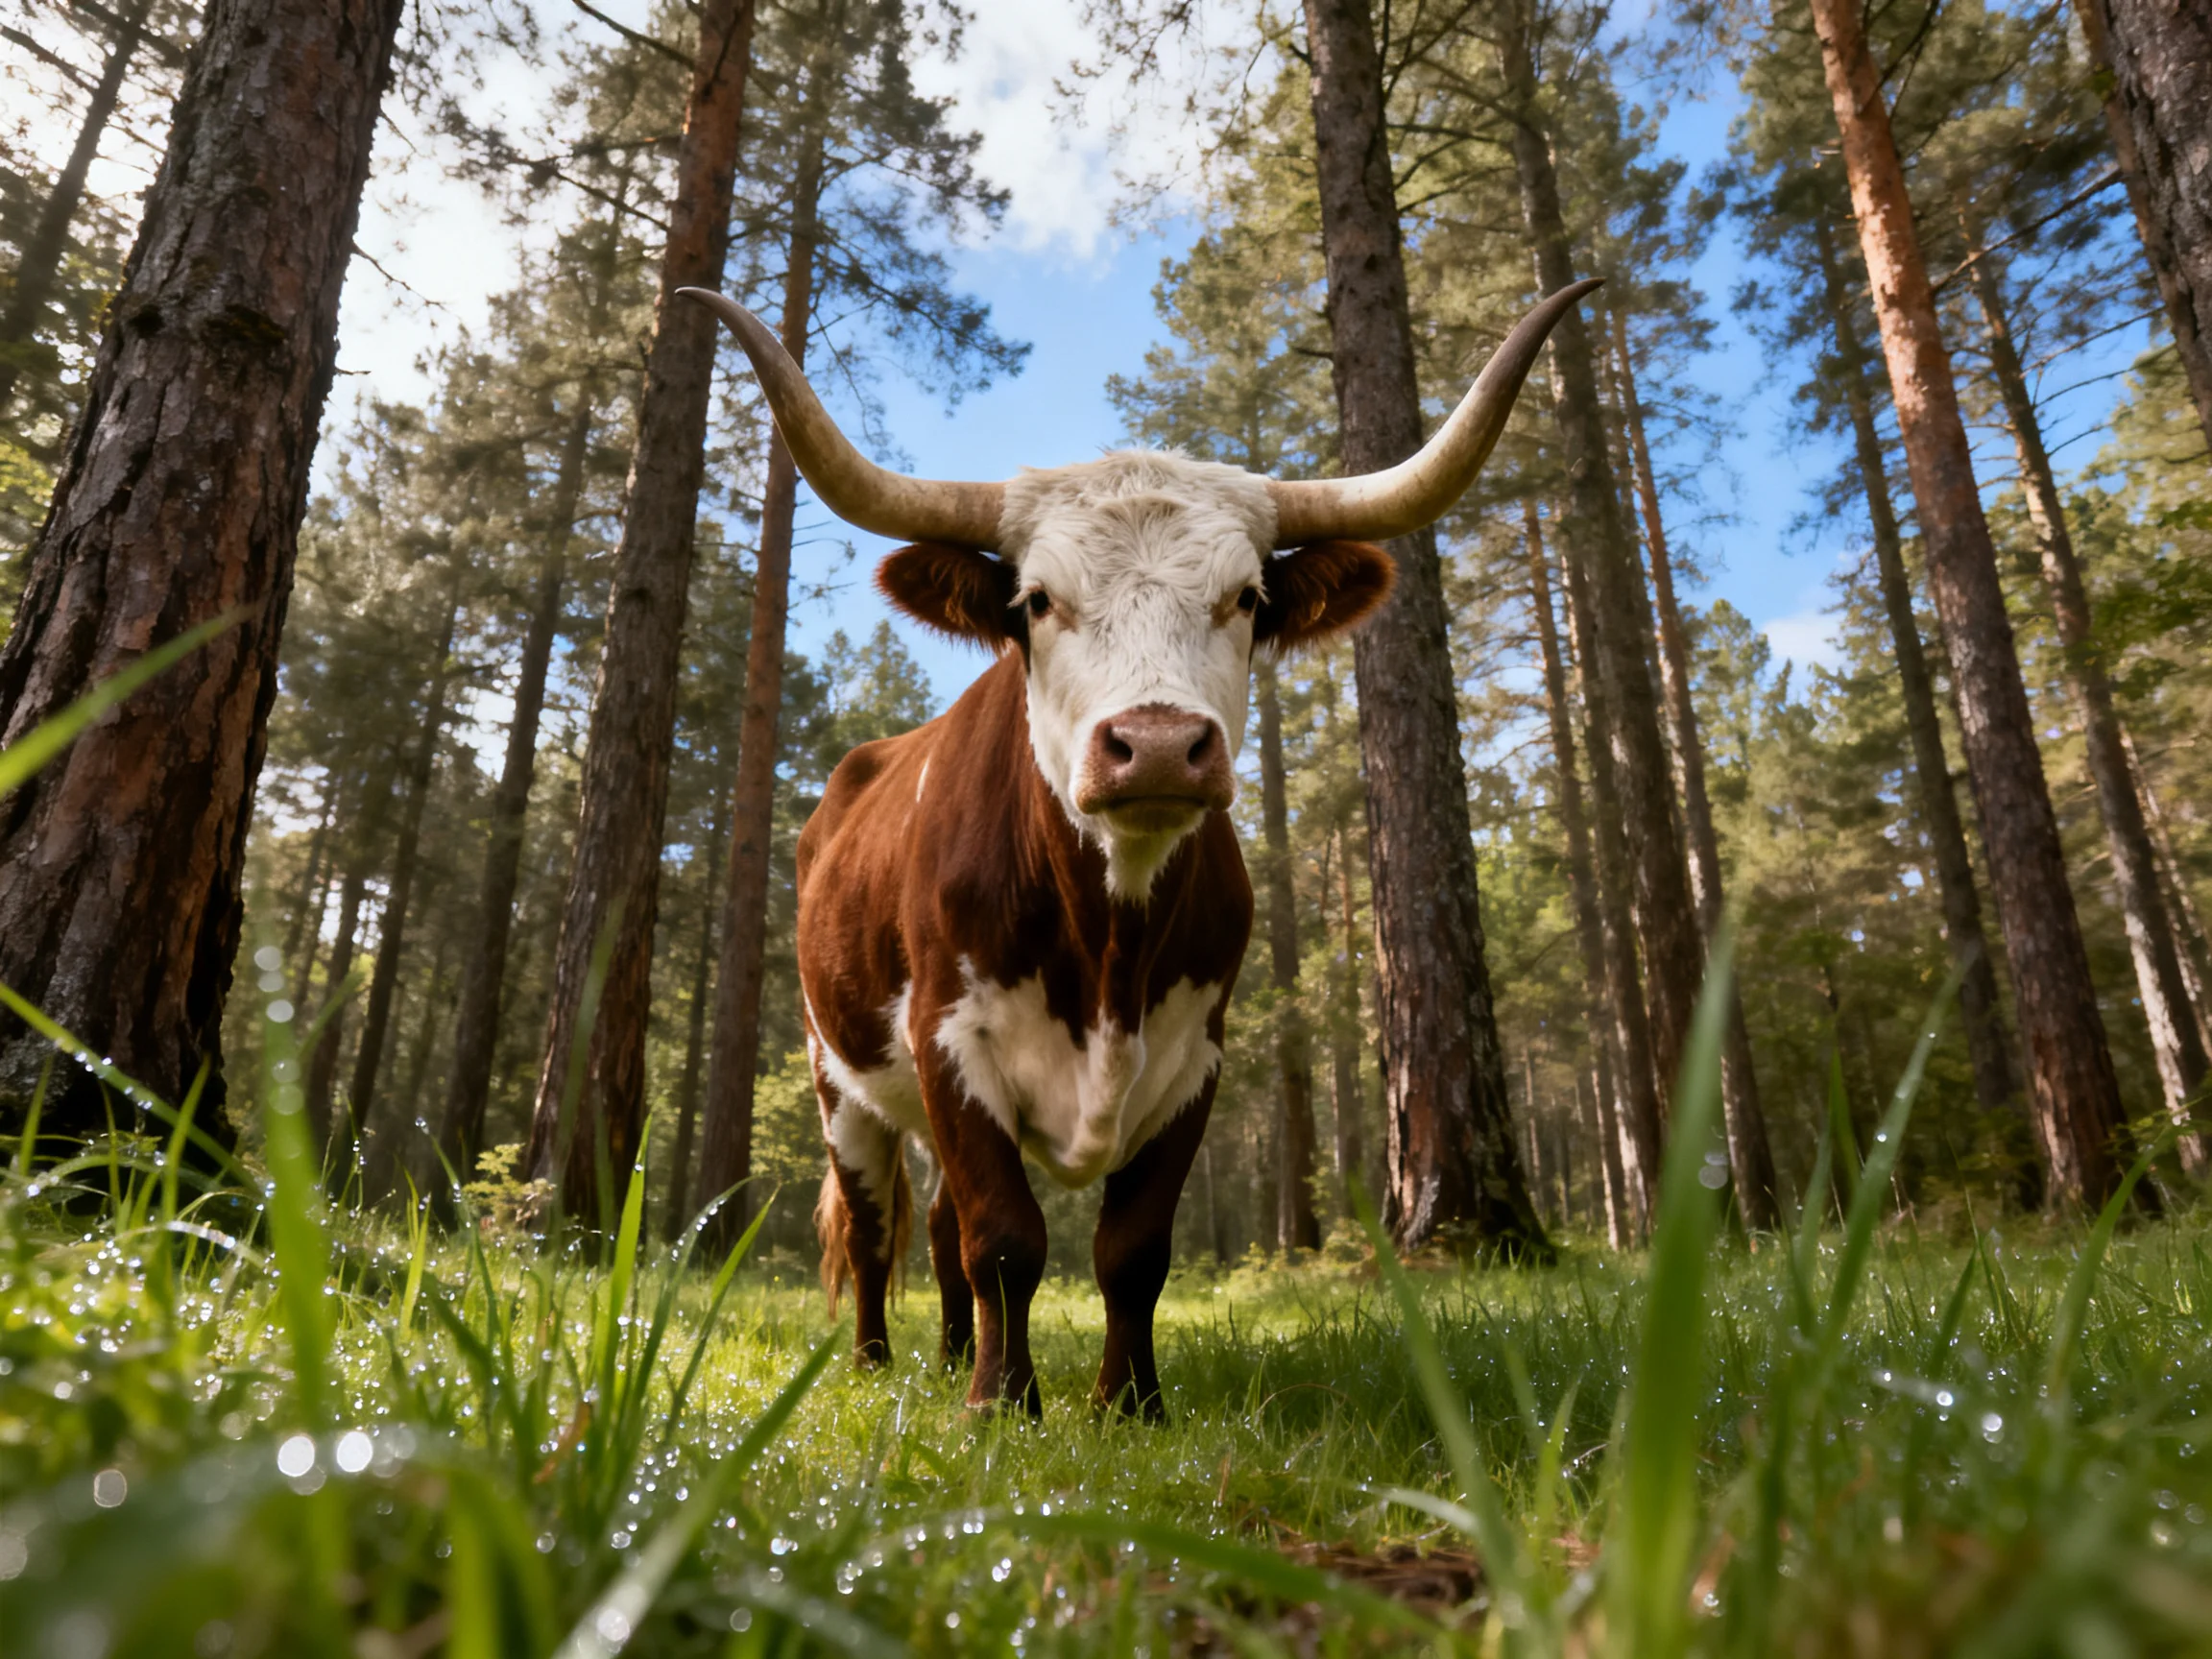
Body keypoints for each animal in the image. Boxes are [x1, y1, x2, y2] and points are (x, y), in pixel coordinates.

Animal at [683, 279, 1597, 1417]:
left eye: (1246, 598)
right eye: (1036, 600)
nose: (1158, 743)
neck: (1107, 943)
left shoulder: (1192, 1059)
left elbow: (1131, 1250)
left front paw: (1128, 1404)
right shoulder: (949, 1041)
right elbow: (1004, 1239)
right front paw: (1002, 1406)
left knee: (932, 1228)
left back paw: (945, 1359)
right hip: (838, 1077)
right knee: (875, 1224)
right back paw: (879, 1367)